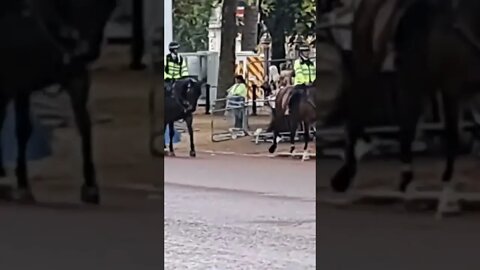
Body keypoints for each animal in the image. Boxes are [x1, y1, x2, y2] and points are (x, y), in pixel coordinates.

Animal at [0, 0, 116, 202]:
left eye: (109, 5)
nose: (88, 52)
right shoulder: (20, 83)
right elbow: (22, 130)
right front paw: (22, 185)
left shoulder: (77, 76)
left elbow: (84, 126)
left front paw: (90, 186)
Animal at [330, 0, 480, 216]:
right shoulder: (451, 88)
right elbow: (452, 137)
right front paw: (447, 199)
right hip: (378, 72)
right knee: (362, 116)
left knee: (403, 124)